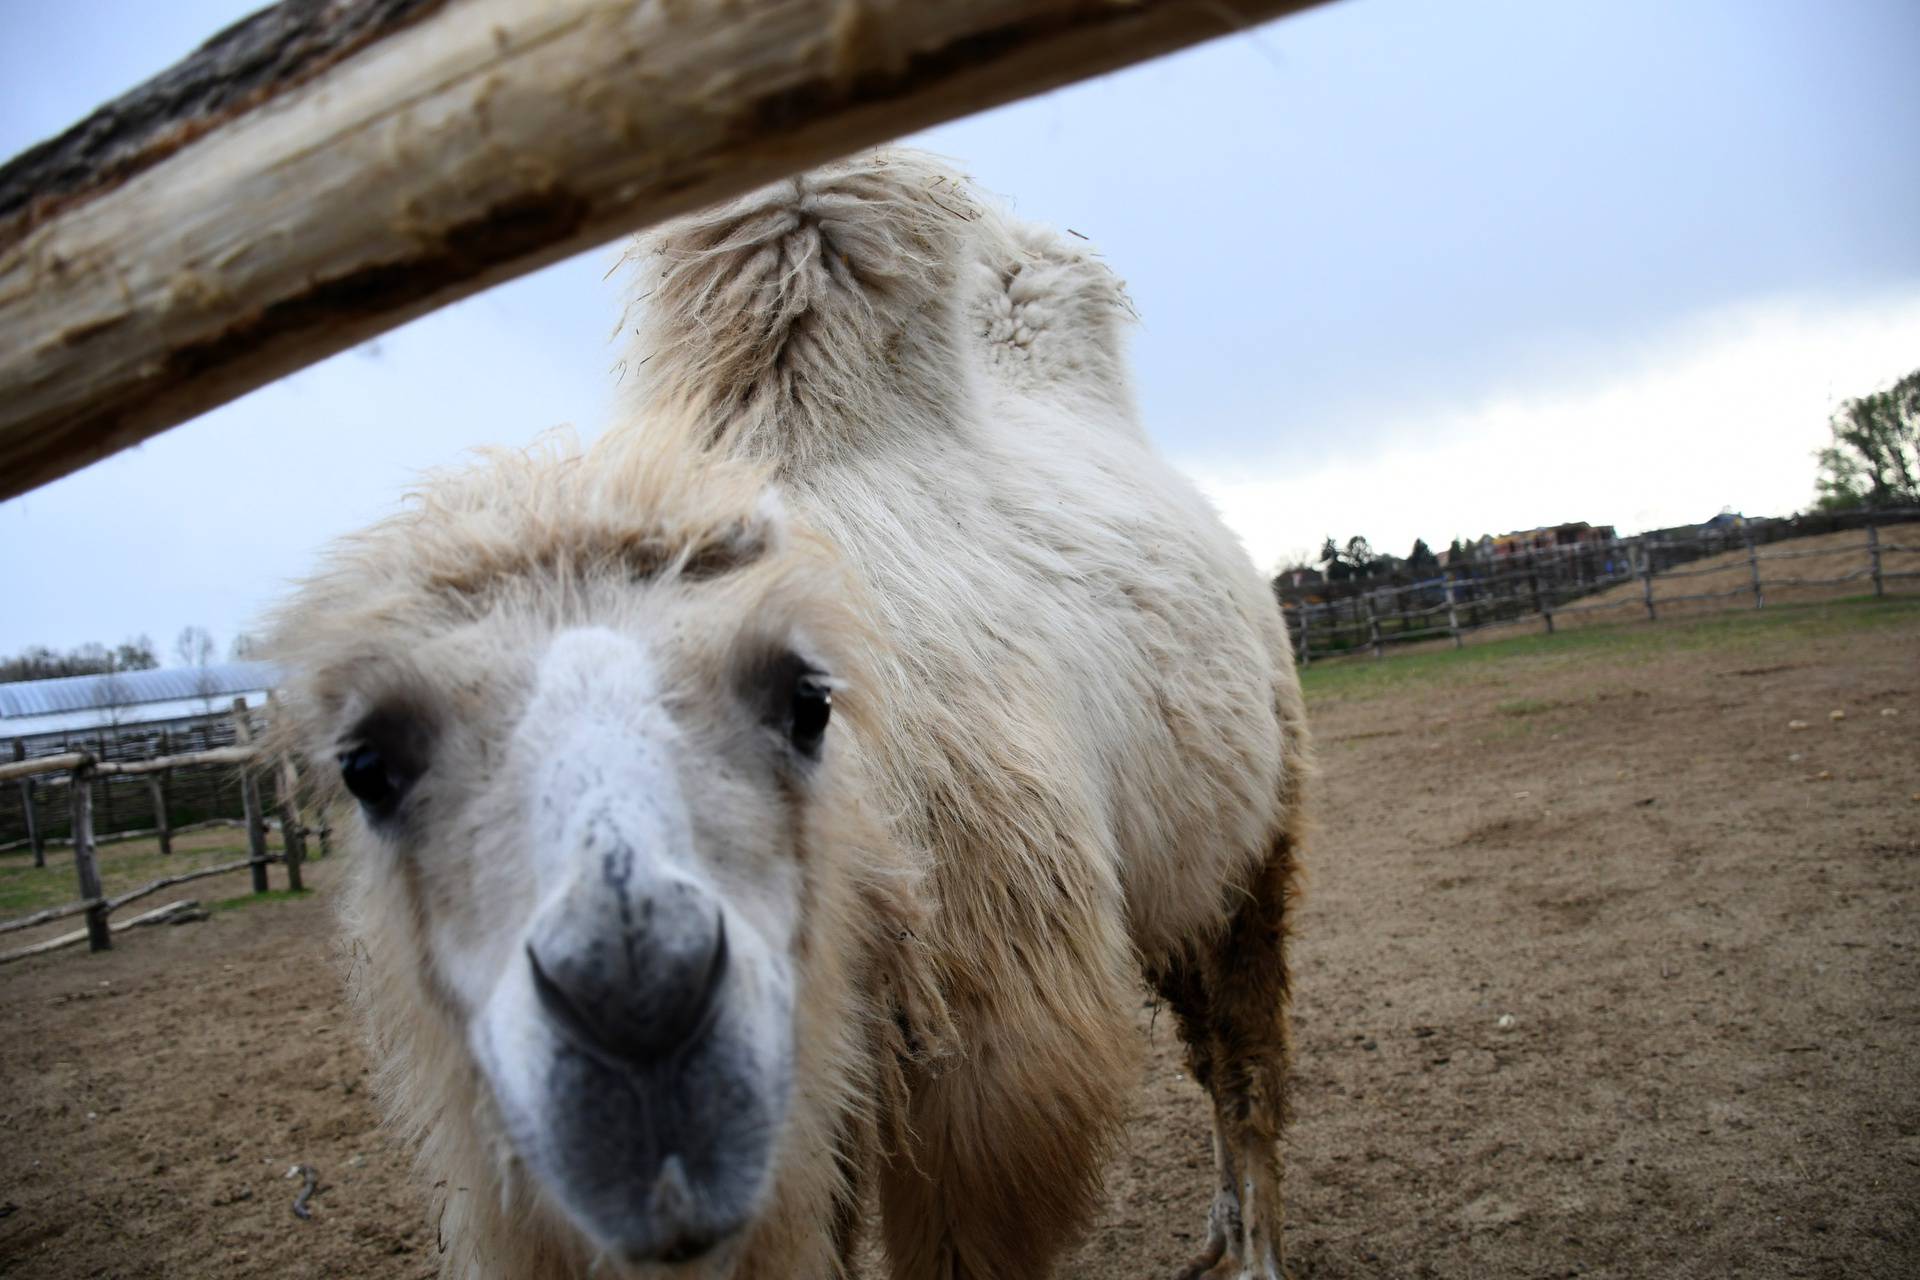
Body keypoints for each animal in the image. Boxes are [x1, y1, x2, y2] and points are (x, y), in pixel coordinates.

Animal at [270, 152, 1313, 1280]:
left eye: (805, 703)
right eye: (367, 766)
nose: (633, 1008)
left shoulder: (987, 1078)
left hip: (1261, 847)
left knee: (1246, 1054)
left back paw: (1256, 1249)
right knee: (1205, 1038)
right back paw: (1213, 1235)